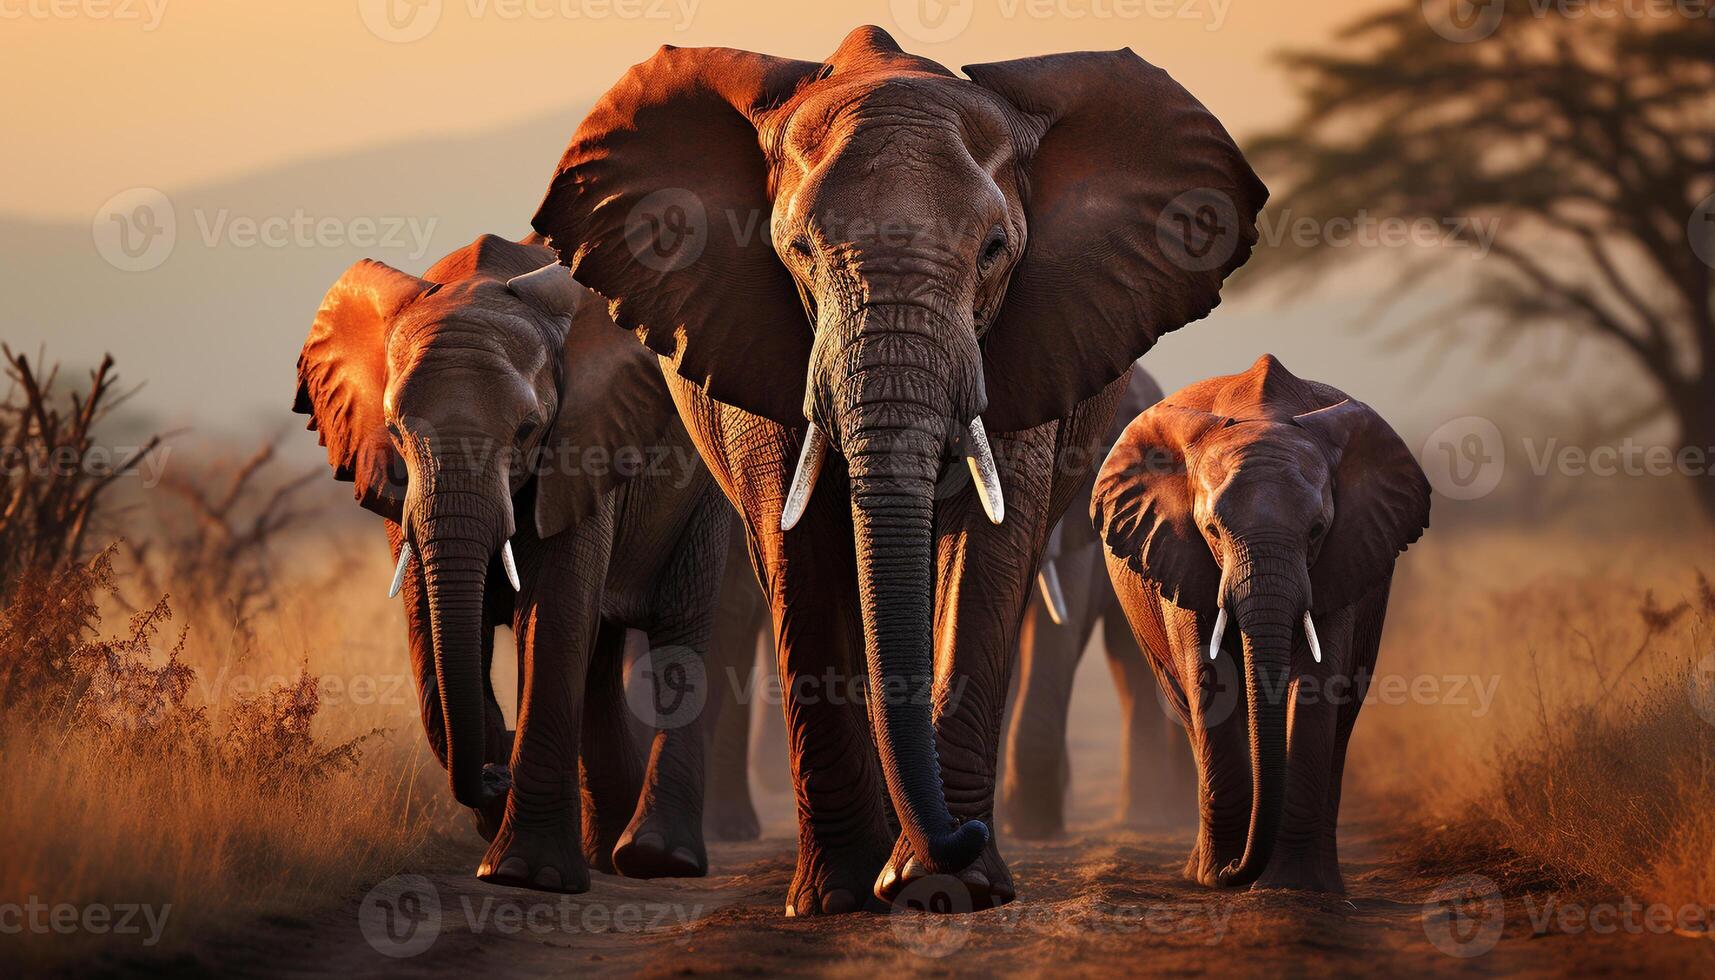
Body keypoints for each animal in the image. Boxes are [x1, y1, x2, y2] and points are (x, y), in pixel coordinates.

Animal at [289, 233, 744, 892]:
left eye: (528, 430)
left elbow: (551, 614)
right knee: (598, 655)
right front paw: (496, 792)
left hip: (705, 487)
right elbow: (430, 629)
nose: (492, 774)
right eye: (395, 432)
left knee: (677, 636)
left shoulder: (583, 443)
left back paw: (656, 858)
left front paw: (528, 872)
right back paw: (604, 852)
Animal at [1090, 356, 1426, 892]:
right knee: (1185, 703)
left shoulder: (1342, 557)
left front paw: (1292, 884)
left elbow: (1318, 682)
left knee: (1346, 710)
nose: (1235, 873)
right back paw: (1202, 868)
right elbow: (1210, 679)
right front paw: (1217, 877)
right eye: (1211, 530)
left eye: (1317, 531)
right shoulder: (1181, 552)